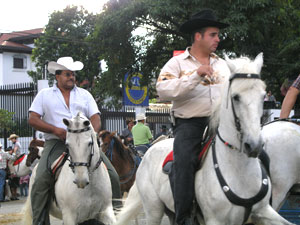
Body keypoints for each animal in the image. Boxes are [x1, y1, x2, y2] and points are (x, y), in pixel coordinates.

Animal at [113, 53, 294, 225]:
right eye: (236, 97)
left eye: (263, 96)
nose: (254, 146)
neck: (238, 170)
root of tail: (147, 154)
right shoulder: (215, 220)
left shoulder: (264, 212)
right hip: (153, 210)